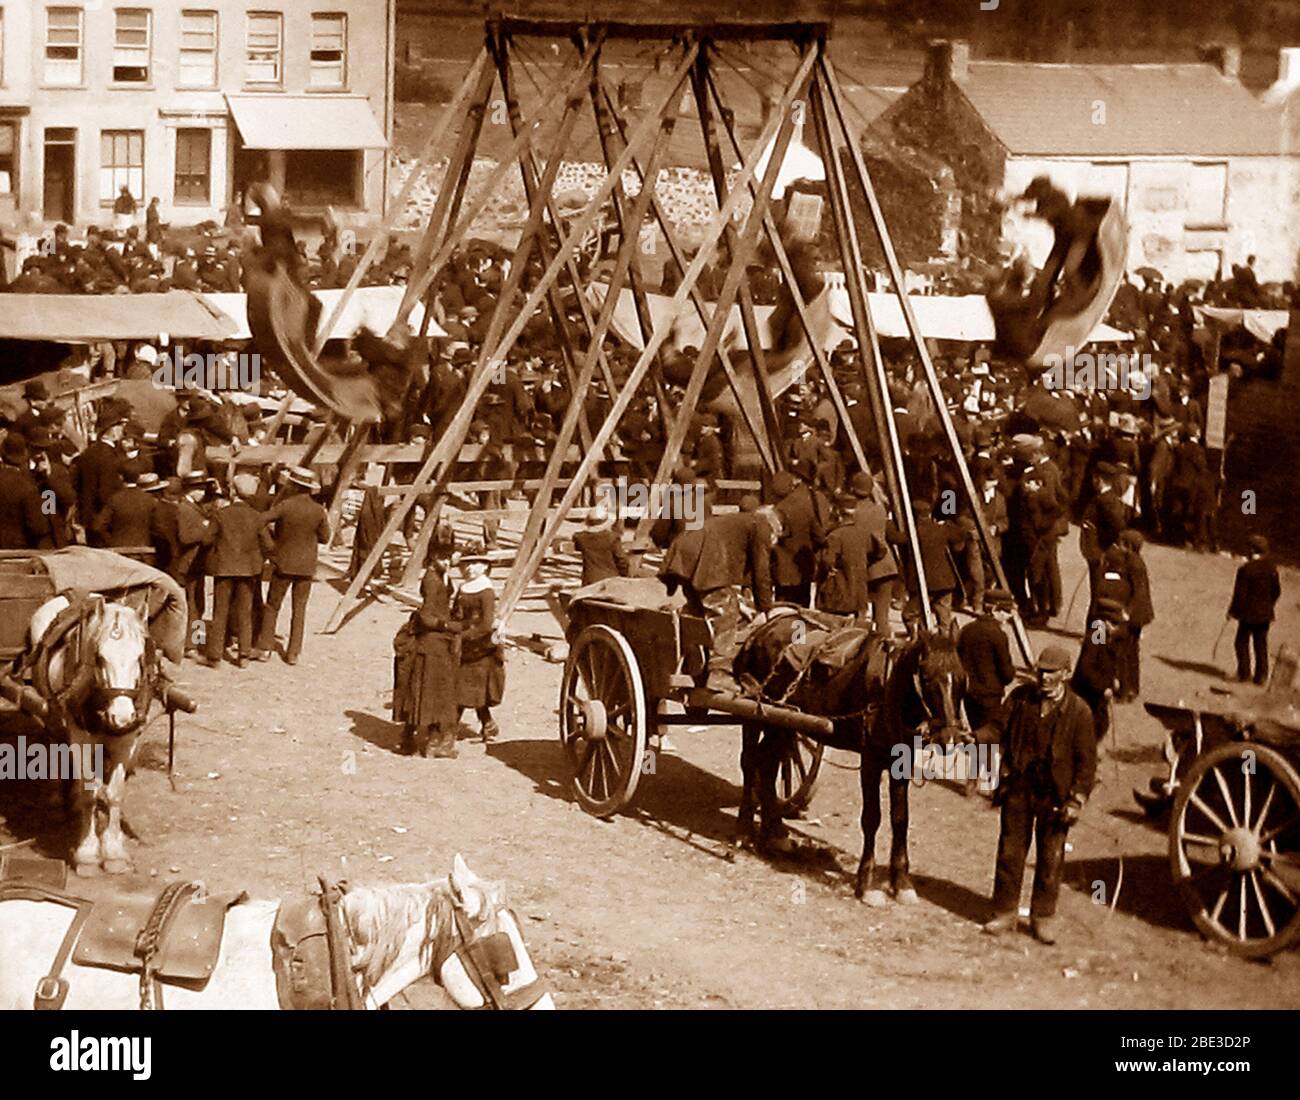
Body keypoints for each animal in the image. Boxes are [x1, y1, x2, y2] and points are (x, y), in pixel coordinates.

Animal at [24, 595, 159, 878]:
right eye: (99, 657)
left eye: (140, 656)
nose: (122, 716)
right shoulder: (81, 735)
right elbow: (89, 792)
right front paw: (87, 853)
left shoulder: (127, 739)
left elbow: (114, 792)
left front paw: (114, 850)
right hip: (53, 716)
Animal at [733, 616, 967, 910]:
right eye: (926, 678)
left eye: (962, 679)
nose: (951, 738)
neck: (889, 688)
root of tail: (765, 627)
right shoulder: (870, 760)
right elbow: (872, 818)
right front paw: (866, 884)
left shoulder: (901, 761)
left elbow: (900, 819)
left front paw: (902, 883)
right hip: (755, 713)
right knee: (750, 762)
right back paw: (743, 832)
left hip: (783, 722)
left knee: (768, 764)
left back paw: (774, 832)